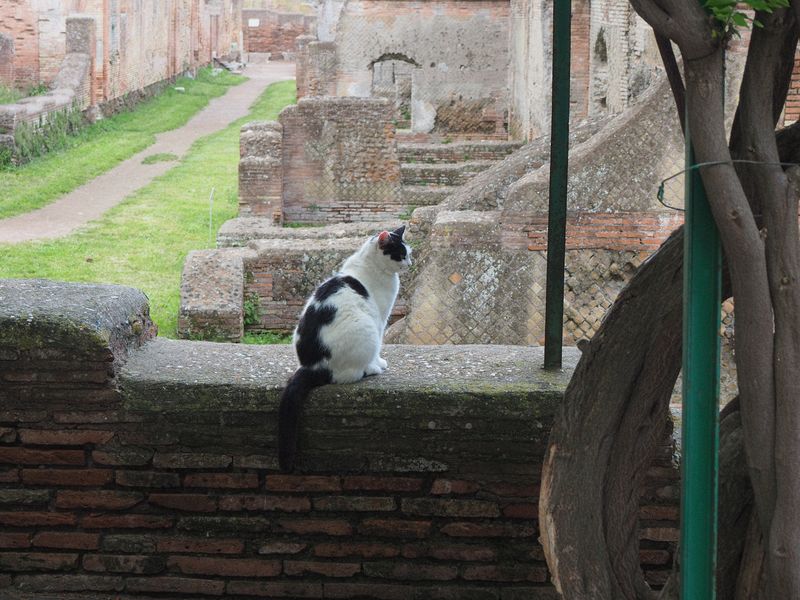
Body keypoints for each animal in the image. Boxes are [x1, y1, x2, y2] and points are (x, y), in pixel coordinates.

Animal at [278, 226, 412, 474]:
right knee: (352, 373)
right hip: (366, 327)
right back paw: (371, 370)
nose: (410, 262)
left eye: (408, 253)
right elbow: (380, 346)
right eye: (400, 254)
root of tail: (313, 365)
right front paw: (379, 363)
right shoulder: (380, 320)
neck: (368, 264)